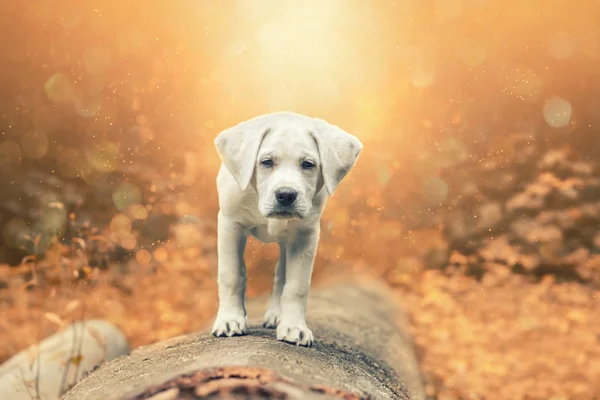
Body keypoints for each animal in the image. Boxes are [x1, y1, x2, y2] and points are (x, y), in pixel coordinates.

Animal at [211, 111, 360, 346]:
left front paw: (294, 327)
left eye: (308, 164)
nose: (286, 195)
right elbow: (231, 274)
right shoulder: (230, 224)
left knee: (281, 275)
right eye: (266, 162)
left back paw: (277, 315)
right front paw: (230, 320)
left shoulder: (305, 235)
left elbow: (296, 285)